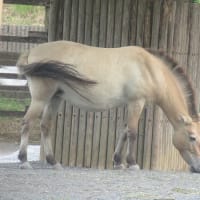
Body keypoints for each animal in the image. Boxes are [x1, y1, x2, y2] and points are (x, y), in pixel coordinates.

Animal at [16, 40, 200, 172]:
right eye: (192, 137)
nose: (198, 168)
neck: (149, 68)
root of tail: (31, 52)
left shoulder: (132, 104)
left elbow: (124, 131)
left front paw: (118, 162)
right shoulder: (136, 102)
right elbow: (132, 132)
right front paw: (132, 163)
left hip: (55, 99)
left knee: (45, 126)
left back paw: (53, 162)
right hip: (40, 99)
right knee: (27, 124)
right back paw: (24, 161)